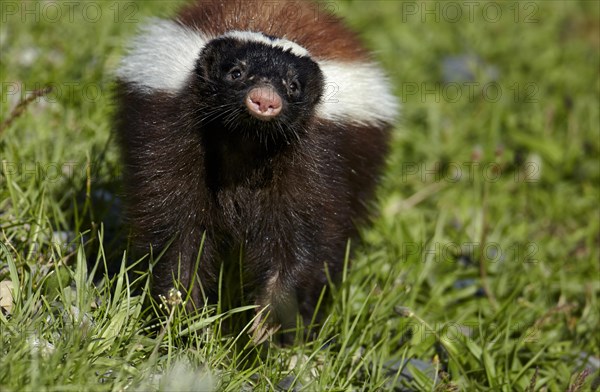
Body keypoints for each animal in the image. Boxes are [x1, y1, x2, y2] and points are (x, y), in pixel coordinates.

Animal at [116, 0, 398, 344]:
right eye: (236, 72)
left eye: (293, 86)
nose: (264, 98)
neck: (247, 142)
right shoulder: (171, 133)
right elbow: (177, 226)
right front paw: (182, 313)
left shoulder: (317, 157)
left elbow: (304, 240)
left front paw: (268, 323)